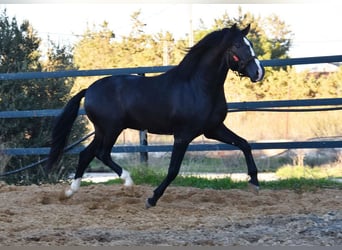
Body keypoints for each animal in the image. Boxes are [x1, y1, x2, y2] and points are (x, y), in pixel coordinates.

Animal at [46, 23, 264, 208]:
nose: (259, 72)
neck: (197, 87)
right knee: (101, 153)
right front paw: (152, 199)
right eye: (237, 45)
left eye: (251, 44)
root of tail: (89, 90)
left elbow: (244, 144)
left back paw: (69, 193)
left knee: (86, 154)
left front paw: (254, 183)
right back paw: (128, 182)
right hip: (111, 129)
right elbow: (173, 170)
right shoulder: (183, 135)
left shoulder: (213, 129)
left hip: (102, 131)